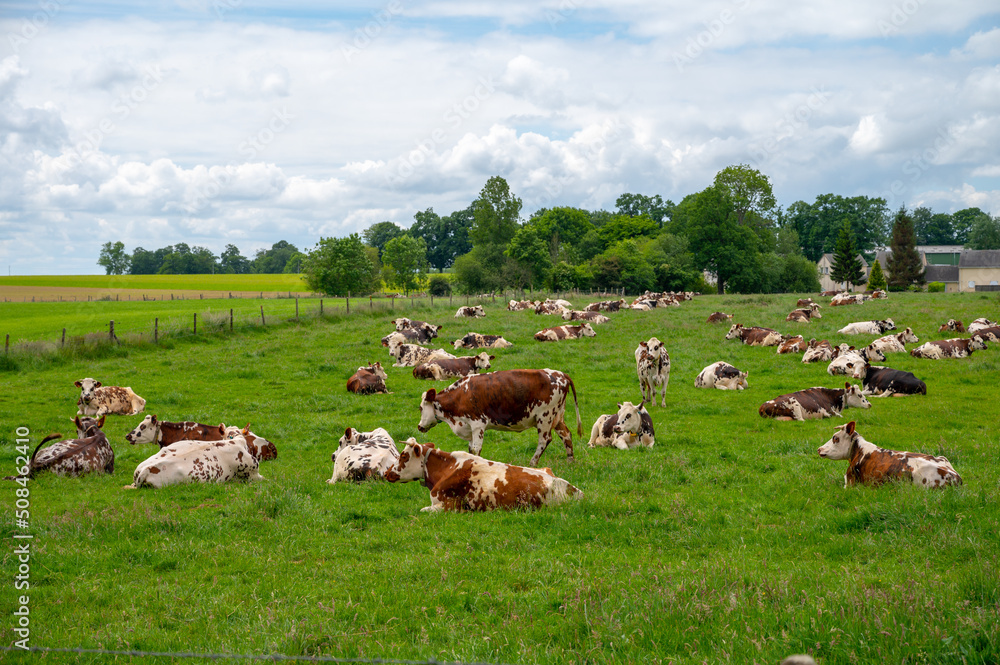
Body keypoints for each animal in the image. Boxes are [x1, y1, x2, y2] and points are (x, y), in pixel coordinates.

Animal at [416, 368, 582, 467]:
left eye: (421, 408)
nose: (419, 426)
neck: (461, 394)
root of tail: (561, 374)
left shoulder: (478, 424)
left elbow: (476, 449)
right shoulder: (468, 427)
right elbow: (470, 449)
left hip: (545, 416)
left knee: (545, 440)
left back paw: (532, 463)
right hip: (557, 417)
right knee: (566, 435)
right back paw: (570, 460)